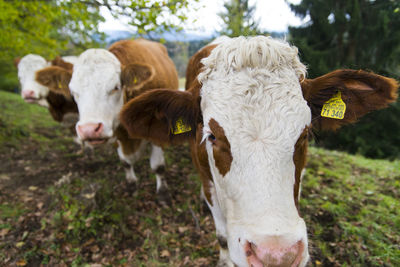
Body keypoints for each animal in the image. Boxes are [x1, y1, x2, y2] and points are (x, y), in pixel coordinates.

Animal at [34, 40, 178, 199]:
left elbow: (158, 166)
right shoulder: (115, 132)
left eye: (116, 87)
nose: (89, 129)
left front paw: (163, 192)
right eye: (72, 92)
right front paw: (131, 185)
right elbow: (125, 162)